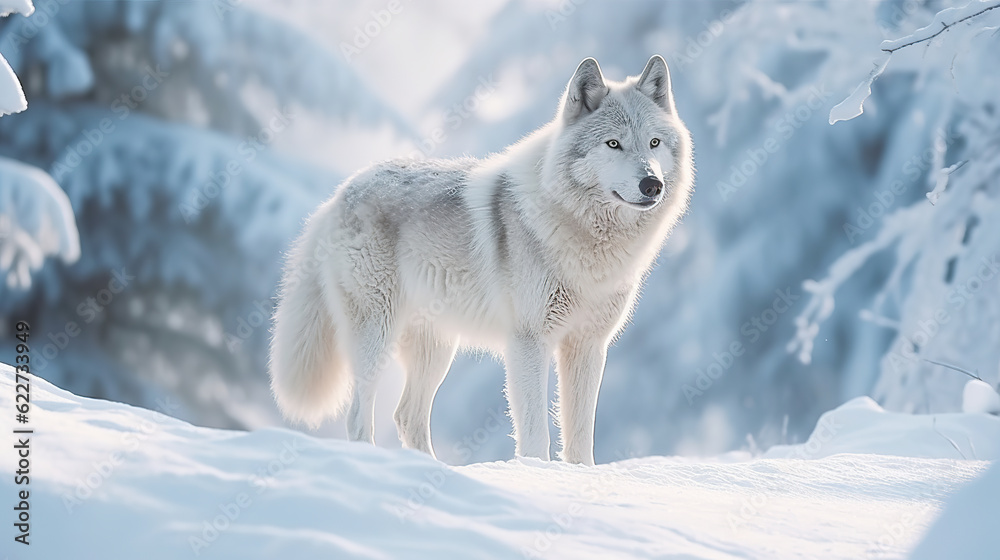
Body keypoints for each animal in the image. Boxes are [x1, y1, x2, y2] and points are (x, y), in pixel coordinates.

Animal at [269, 55, 693, 465]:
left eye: (654, 143)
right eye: (613, 144)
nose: (651, 185)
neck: (587, 240)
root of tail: (340, 192)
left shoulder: (588, 345)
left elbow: (580, 438)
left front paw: (579, 477)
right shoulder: (528, 342)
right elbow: (536, 434)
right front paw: (537, 473)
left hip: (436, 350)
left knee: (406, 416)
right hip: (378, 335)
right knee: (360, 415)